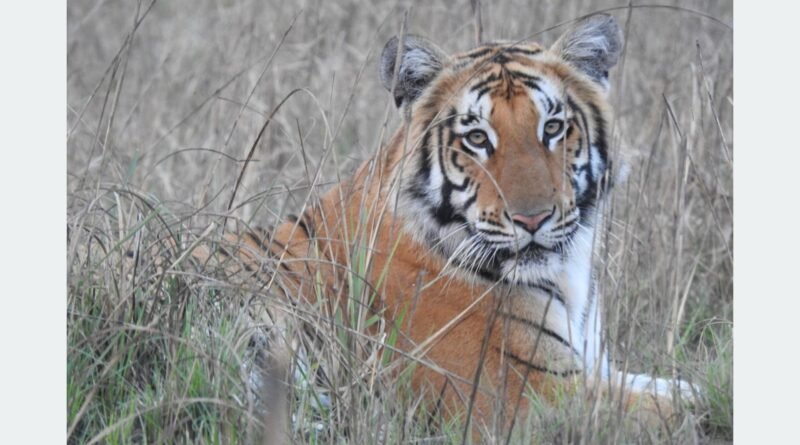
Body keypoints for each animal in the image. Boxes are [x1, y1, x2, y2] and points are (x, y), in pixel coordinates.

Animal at [204, 13, 697, 436]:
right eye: (477, 138)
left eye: (553, 128)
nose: (533, 218)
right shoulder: (521, 395)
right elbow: (681, 406)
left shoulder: (593, 367)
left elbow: (680, 385)